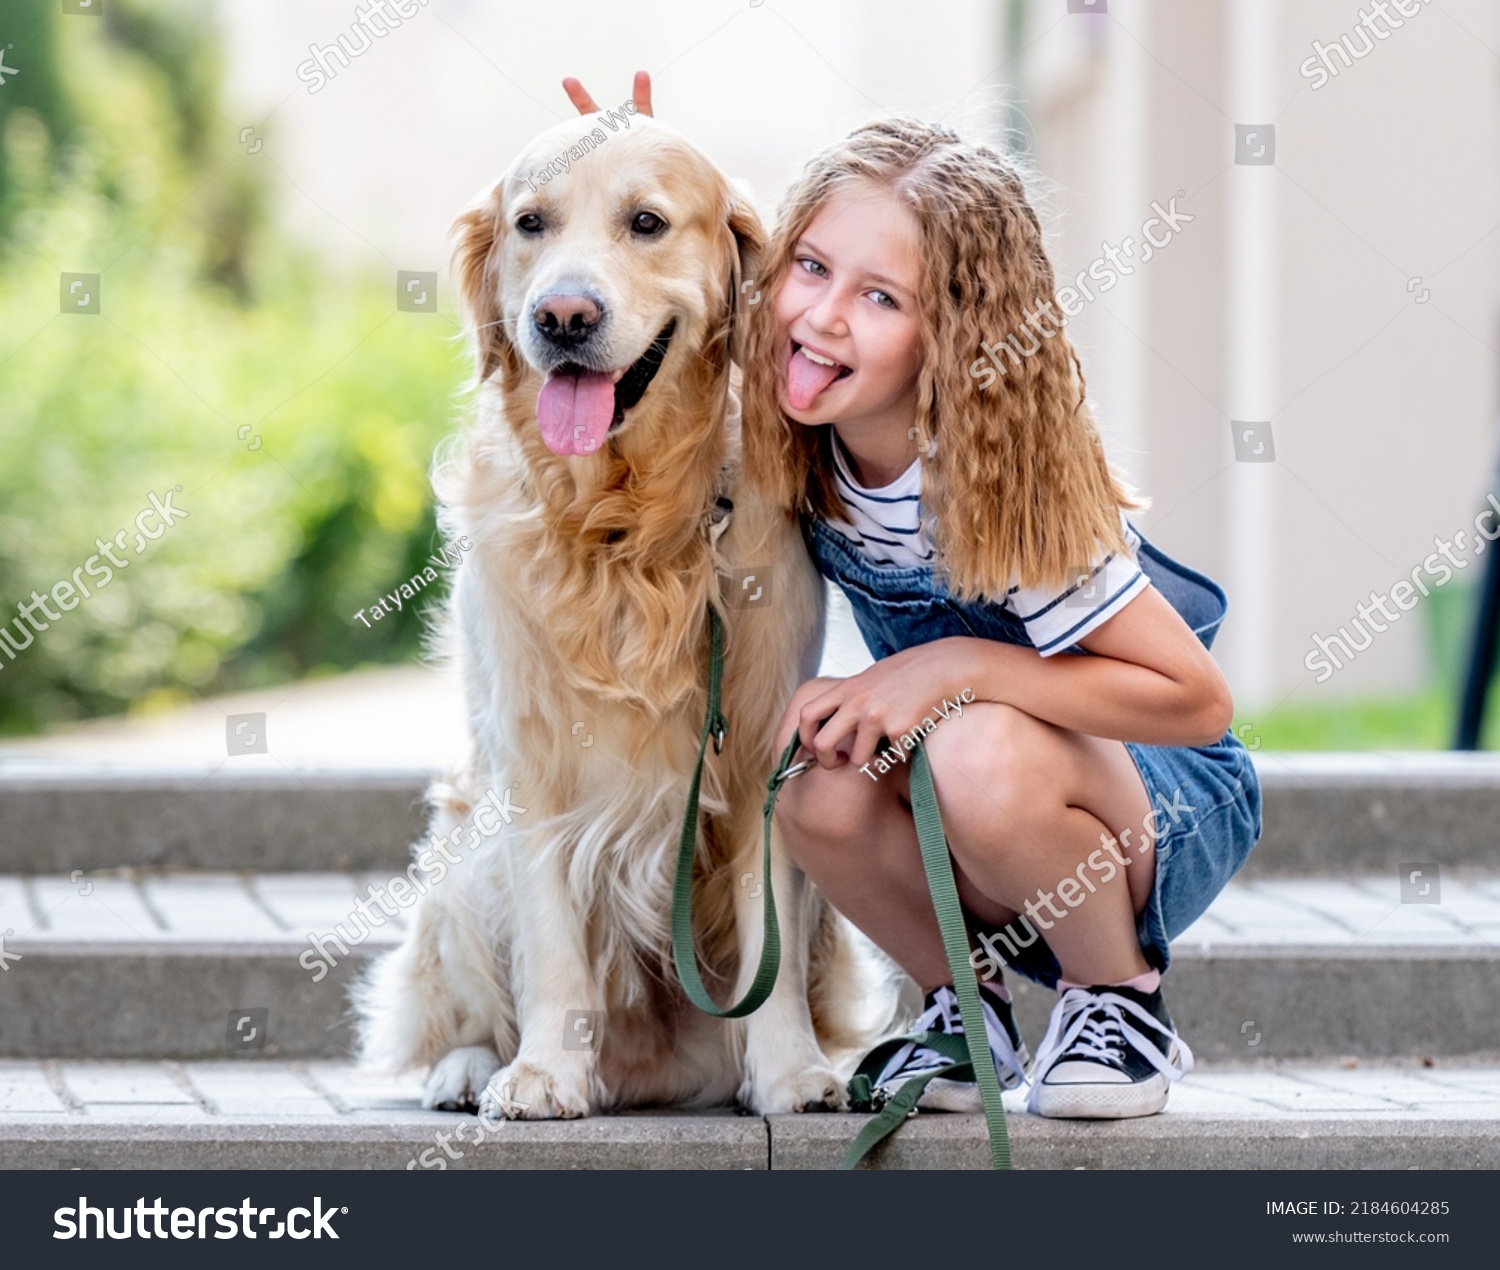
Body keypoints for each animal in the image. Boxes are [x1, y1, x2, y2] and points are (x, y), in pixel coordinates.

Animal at [351, 111, 876, 1121]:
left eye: (647, 223)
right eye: (530, 224)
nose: (563, 317)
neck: (624, 527)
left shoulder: (763, 740)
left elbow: (769, 945)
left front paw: (792, 1075)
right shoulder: (530, 758)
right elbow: (552, 943)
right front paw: (544, 1075)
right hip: (463, 858)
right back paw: (470, 1069)